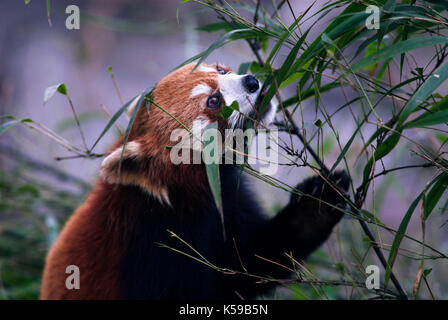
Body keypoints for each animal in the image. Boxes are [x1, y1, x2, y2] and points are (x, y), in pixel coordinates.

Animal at [41, 62, 350, 300]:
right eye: (214, 101)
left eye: (221, 70)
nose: (251, 81)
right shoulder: (150, 249)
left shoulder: (229, 203)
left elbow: (254, 260)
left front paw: (317, 204)